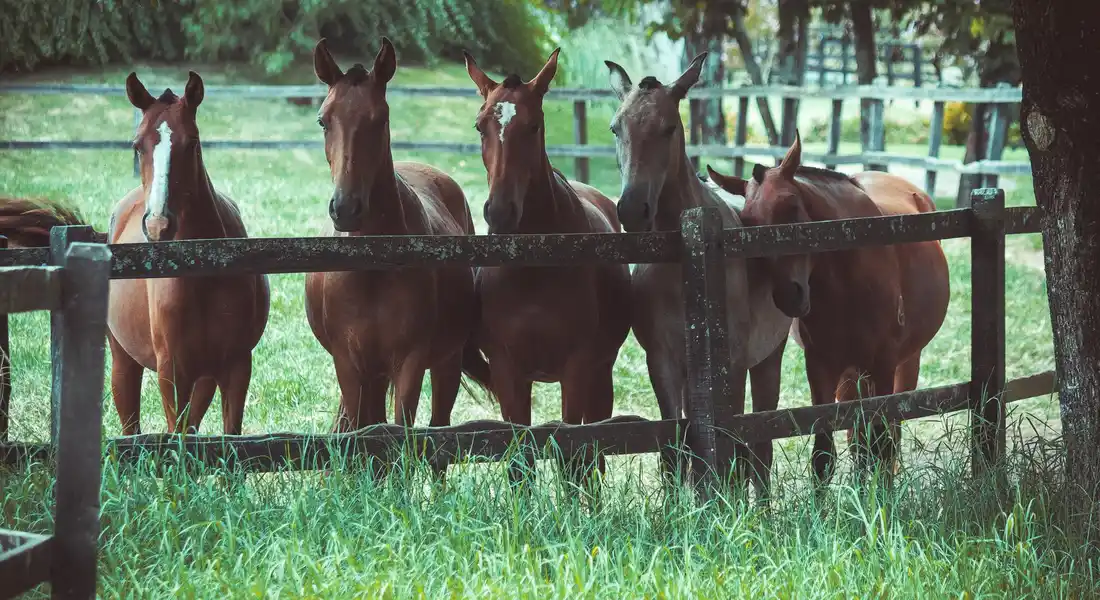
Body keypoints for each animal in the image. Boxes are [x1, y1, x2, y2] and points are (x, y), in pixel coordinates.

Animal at [1, 72, 272, 436]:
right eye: (136, 145)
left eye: (193, 143)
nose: (158, 225)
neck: (205, 268)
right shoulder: (172, 372)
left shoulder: (237, 367)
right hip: (123, 364)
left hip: (204, 377)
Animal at [305, 38, 488, 445]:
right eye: (324, 120)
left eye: (380, 119)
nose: (346, 208)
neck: (372, 266)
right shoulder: (350, 365)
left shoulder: (410, 362)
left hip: (446, 363)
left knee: (439, 427)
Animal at [463, 48, 632, 486]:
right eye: (480, 126)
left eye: (534, 125)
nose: (500, 213)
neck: (534, 267)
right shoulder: (508, 372)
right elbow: (519, 462)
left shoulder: (577, 367)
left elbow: (574, 457)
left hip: (600, 373)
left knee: (595, 453)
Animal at [604, 55, 792, 496]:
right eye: (616, 128)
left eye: (669, 127)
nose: (632, 210)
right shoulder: (663, 361)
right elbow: (674, 449)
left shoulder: (733, 364)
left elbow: (733, 449)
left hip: (768, 359)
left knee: (761, 447)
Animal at [705, 133, 950, 484]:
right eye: (748, 224)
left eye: (792, 206)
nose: (788, 296)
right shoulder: (822, 367)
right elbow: (824, 455)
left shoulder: (883, 364)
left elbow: (881, 444)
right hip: (851, 375)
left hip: (904, 364)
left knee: (888, 434)